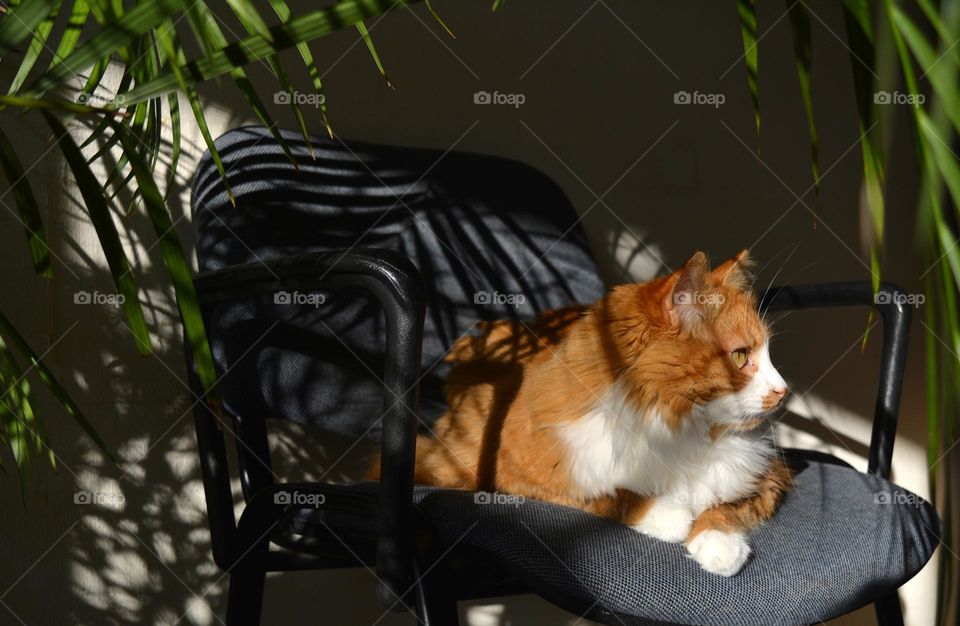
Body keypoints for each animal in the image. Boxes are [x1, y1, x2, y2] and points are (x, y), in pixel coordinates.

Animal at [372, 249, 792, 576]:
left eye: (769, 355)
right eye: (740, 357)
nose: (784, 391)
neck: (675, 426)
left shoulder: (769, 476)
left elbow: (725, 506)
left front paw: (718, 546)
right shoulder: (519, 477)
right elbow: (611, 496)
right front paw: (670, 514)